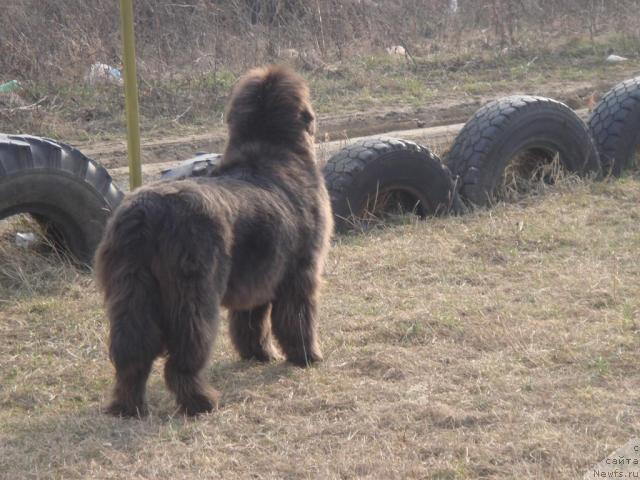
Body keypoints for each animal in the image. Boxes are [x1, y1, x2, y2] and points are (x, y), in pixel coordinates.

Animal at [97, 65, 336, 418]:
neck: (269, 148)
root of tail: (145, 213)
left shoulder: (256, 277)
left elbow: (250, 321)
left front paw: (257, 354)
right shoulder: (301, 274)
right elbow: (297, 319)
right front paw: (306, 356)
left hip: (131, 293)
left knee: (132, 354)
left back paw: (128, 406)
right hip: (193, 297)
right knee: (184, 356)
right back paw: (200, 402)